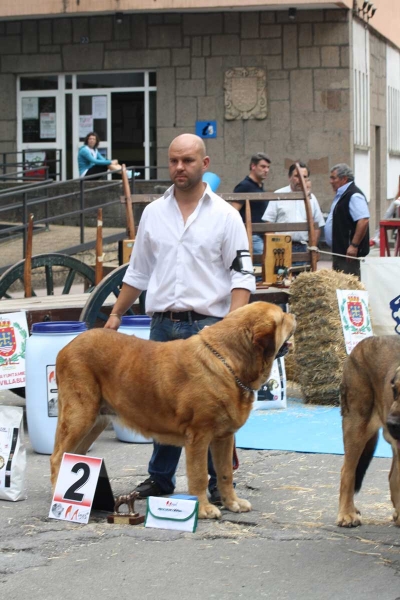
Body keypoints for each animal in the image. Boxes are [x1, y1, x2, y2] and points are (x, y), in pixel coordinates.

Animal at [50, 302, 296, 516]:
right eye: (282, 318)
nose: (293, 314)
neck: (229, 361)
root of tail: (65, 348)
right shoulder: (198, 436)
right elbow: (199, 474)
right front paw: (204, 509)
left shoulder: (224, 438)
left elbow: (225, 473)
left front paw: (232, 503)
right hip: (80, 415)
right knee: (57, 456)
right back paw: (59, 492)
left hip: (95, 421)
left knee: (73, 454)